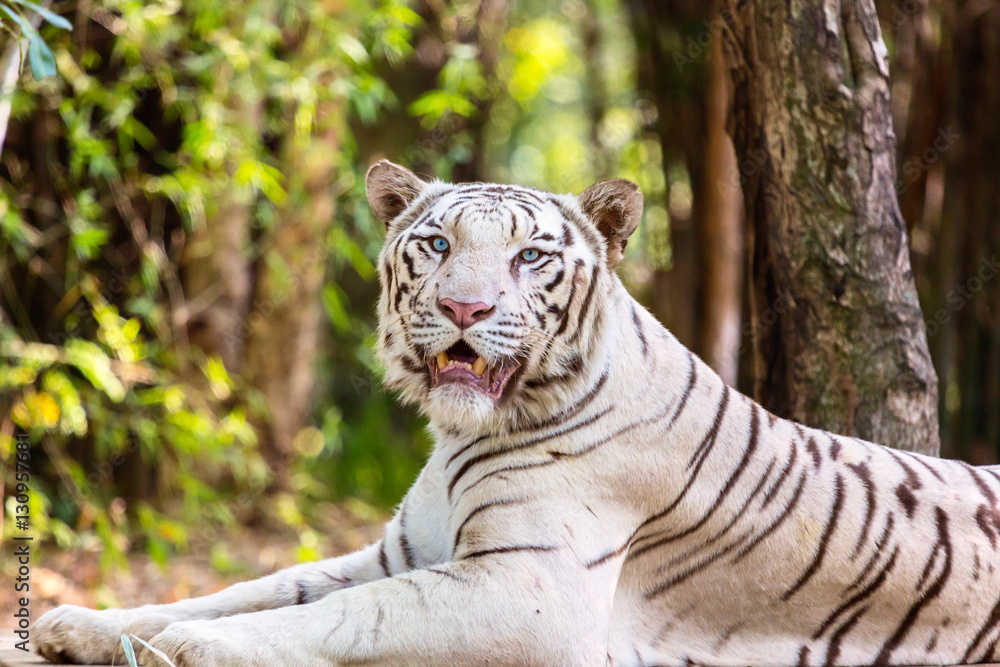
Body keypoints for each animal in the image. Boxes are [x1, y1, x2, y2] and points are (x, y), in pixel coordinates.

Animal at [35, 163, 1000, 667]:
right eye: (436, 243)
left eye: (531, 256)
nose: (464, 307)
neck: (460, 431)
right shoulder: (400, 550)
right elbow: (261, 585)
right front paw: (84, 624)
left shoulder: (529, 588)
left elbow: (350, 615)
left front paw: (196, 644)